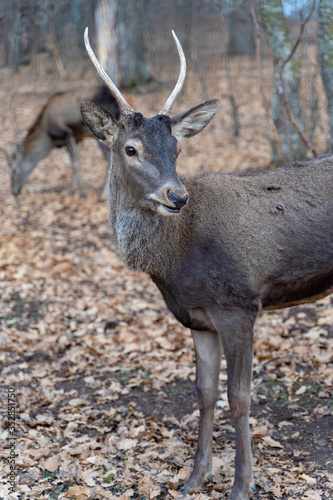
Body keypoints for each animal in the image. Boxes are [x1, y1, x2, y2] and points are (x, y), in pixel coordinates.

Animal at [80, 28, 332, 500]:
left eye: (177, 147)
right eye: (130, 148)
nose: (177, 196)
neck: (176, 263)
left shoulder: (239, 304)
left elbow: (240, 397)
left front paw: (242, 484)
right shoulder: (198, 319)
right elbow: (204, 392)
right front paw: (195, 478)